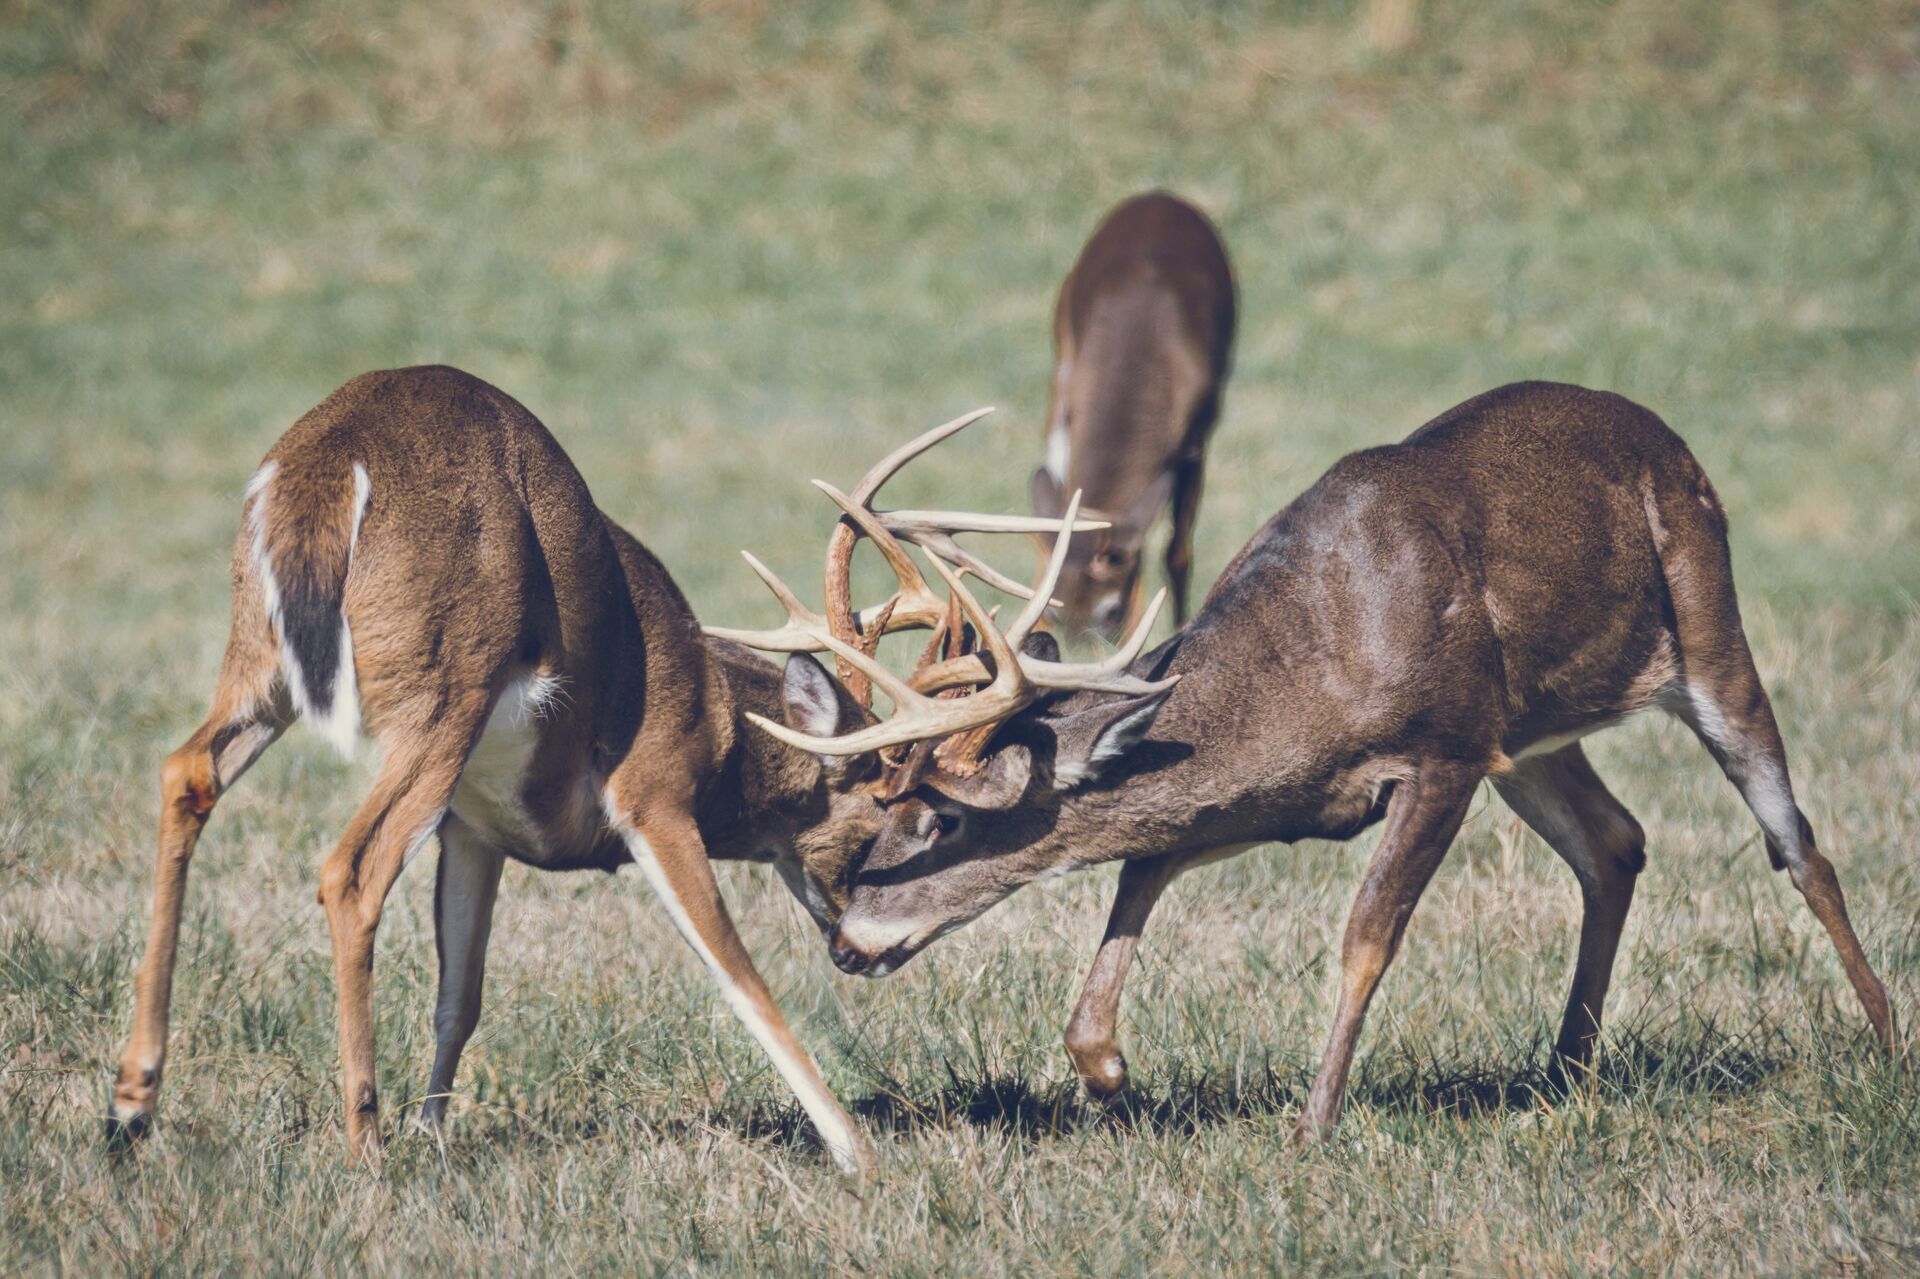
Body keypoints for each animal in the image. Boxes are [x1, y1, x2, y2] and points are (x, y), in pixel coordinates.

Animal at [104, 365, 1093, 1173]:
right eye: (915, 818)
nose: (860, 950)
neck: (717, 716)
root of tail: (323, 466)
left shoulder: (473, 823)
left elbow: (460, 992)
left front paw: (435, 1133)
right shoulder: (653, 792)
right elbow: (740, 976)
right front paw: (858, 1151)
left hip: (260, 656)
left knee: (185, 770)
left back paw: (132, 1107)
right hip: (447, 683)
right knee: (351, 866)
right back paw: (363, 1147)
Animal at [723, 381, 1897, 1142]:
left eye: (946, 817)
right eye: (881, 806)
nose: (848, 942)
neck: (1307, 669)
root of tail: (1668, 437)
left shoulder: (1442, 749)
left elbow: (1365, 937)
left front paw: (1314, 1122)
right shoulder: (1272, 798)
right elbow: (1132, 883)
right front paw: (1117, 1081)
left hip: (1703, 621)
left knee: (1794, 840)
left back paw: (1883, 1038)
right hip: (1529, 737)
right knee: (1616, 842)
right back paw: (1562, 1072)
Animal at [1029, 190, 1235, 641]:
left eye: (1112, 613)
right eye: (1056, 616)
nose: (1078, 641)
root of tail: (1161, 196)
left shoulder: (1195, 439)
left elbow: (1177, 550)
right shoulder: (1068, 385)